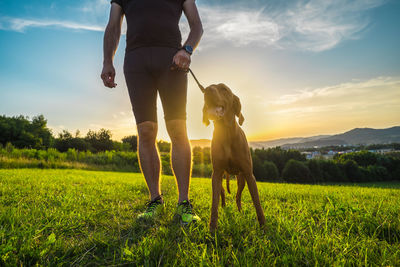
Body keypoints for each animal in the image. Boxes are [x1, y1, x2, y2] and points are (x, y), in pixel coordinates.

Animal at [203, 82, 266, 231]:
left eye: (224, 89)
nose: (206, 90)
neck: (226, 132)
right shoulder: (216, 173)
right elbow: (214, 203)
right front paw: (212, 228)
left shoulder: (249, 174)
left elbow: (257, 202)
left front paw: (264, 226)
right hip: (220, 178)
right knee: (222, 194)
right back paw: (224, 207)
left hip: (241, 179)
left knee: (238, 196)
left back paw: (240, 211)